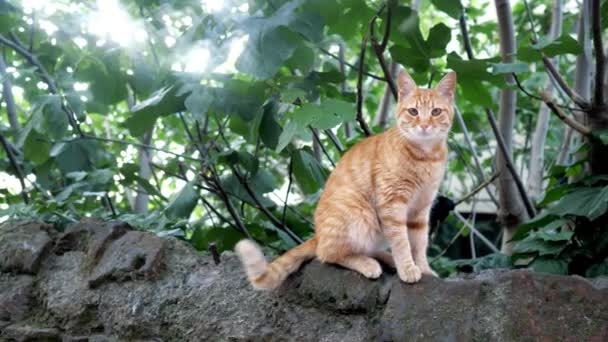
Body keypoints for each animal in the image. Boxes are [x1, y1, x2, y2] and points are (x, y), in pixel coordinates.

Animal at [235, 71, 454, 290]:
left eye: (436, 112)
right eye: (413, 111)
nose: (424, 125)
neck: (425, 156)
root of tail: (318, 235)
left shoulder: (421, 208)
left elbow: (419, 243)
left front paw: (423, 268)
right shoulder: (392, 204)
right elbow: (401, 242)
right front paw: (407, 268)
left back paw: (386, 258)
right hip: (359, 214)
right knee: (328, 254)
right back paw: (368, 264)